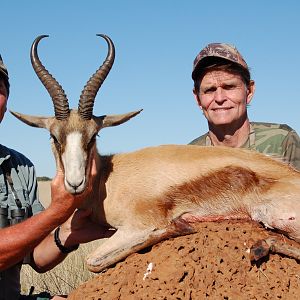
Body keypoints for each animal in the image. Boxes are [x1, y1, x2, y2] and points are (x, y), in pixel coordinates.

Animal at [11, 34, 300, 274]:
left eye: (93, 135)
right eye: (54, 136)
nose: (74, 183)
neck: (108, 178)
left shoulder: (138, 225)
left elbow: (92, 261)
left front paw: (180, 225)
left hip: (273, 216)